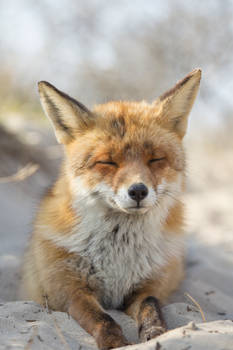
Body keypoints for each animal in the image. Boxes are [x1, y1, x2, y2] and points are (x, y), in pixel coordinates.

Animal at [20, 69, 201, 350]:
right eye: (107, 162)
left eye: (155, 159)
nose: (138, 191)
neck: (119, 253)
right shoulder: (67, 290)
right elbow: (102, 319)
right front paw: (115, 342)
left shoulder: (149, 287)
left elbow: (152, 307)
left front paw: (157, 334)